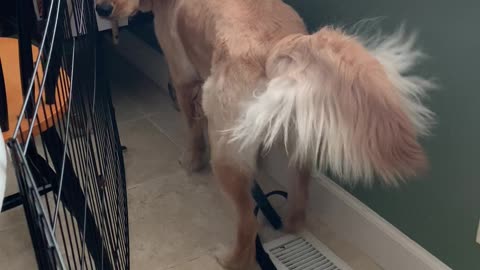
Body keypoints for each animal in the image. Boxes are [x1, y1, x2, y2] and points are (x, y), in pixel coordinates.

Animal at [94, 0, 436, 268]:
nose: (101, 9)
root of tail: (277, 46)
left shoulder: (182, 75)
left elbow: (192, 127)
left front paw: (191, 160)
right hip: (297, 136)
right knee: (300, 188)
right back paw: (289, 224)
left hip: (226, 149)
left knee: (247, 222)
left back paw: (233, 260)